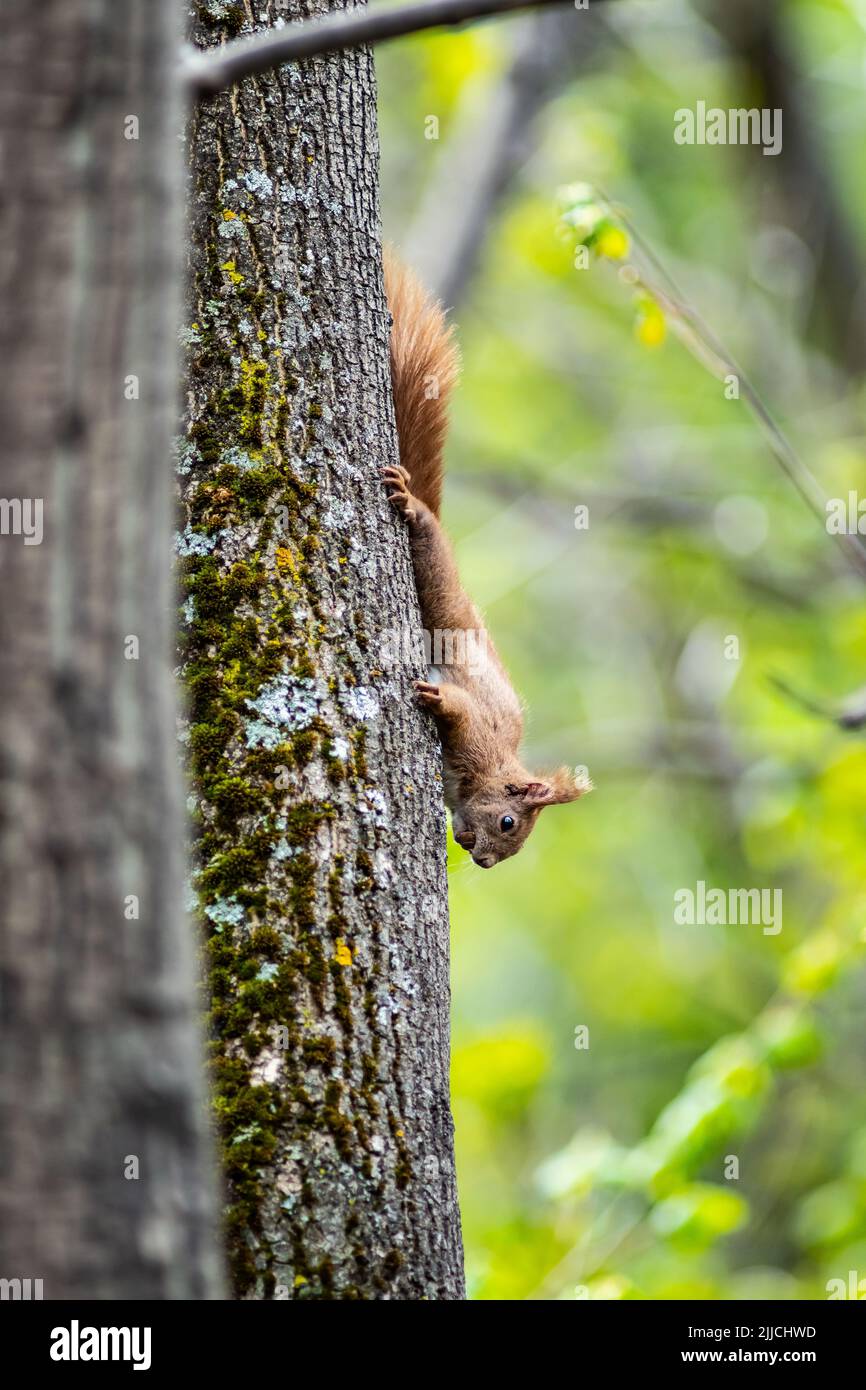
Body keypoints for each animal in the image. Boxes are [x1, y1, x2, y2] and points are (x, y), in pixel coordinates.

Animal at [383, 244, 592, 861]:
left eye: (511, 842)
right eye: (508, 822)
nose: (480, 860)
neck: (496, 767)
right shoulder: (479, 735)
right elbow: (460, 710)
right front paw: (436, 698)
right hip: (438, 585)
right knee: (427, 536)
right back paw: (412, 505)